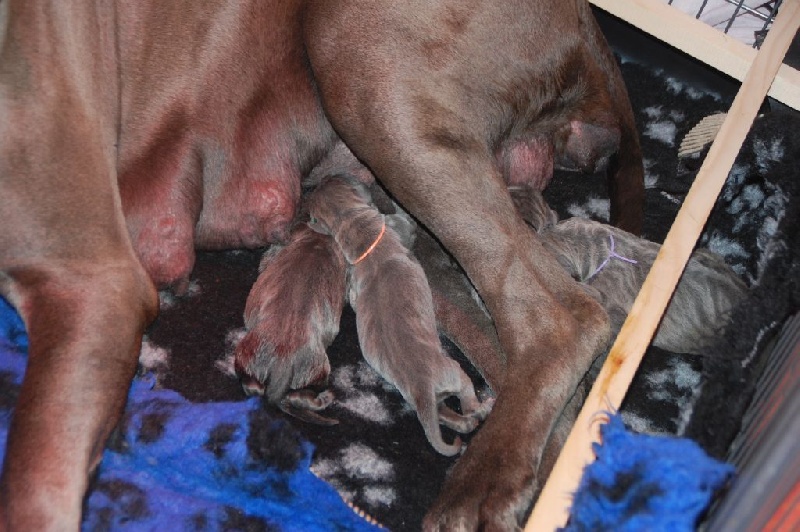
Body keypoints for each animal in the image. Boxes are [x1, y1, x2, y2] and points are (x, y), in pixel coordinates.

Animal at [231, 222, 344, 426]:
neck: (316, 241)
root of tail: (283, 363)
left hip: (248, 356)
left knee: (257, 388)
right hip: (317, 371)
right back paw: (327, 398)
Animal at [308, 172, 490, 456]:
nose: (333, 173)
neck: (362, 236)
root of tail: (422, 389)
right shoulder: (399, 225)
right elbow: (406, 220)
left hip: (428, 401)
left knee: (452, 419)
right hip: (455, 372)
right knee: (467, 400)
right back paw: (483, 407)